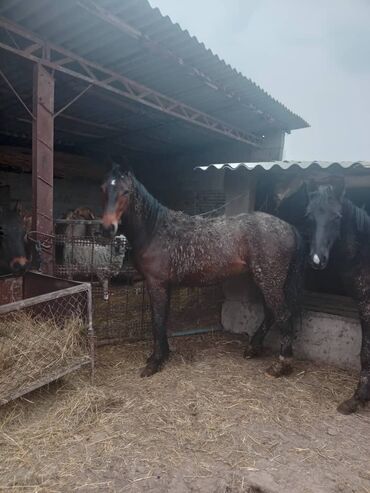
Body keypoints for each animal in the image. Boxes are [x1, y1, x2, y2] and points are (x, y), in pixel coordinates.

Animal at [100, 165, 304, 376]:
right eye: (103, 189)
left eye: (126, 192)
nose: (107, 227)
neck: (155, 230)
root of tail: (288, 227)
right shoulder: (165, 285)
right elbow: (163, 319)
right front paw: (163, 355)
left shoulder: (156, 283)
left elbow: (157, 320)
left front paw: (155, 362)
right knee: (271, 313)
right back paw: (253, 348)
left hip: (269, 281)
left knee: (282, 314)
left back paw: (281, 364)